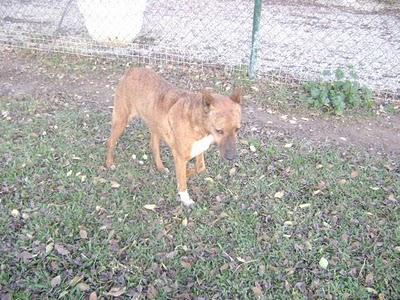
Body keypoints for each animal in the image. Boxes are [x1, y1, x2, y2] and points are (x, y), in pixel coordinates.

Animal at [105, 67, 241, 206]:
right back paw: (109, 163)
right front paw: (185, 197)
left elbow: (199, 169)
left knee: (154, 147)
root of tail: (131, 70)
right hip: (121, 121)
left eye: (237, 129)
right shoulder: (180, 156)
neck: (199, 124)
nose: (231, 157)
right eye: (219, 131)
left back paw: (160, 167)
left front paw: (186, 174)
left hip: (155, 125)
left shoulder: (198, 149)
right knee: (110, 142)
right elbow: (182, 179)